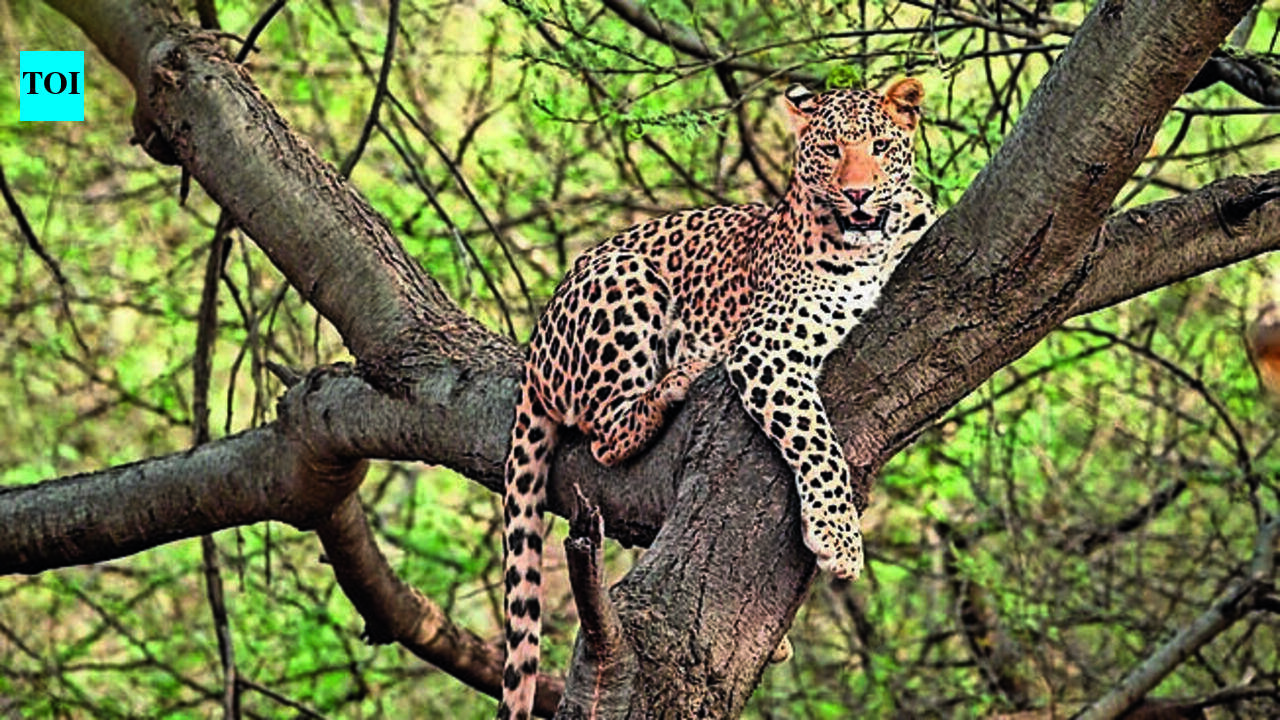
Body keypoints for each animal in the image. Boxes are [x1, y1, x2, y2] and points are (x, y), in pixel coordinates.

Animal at [498, 78, 936, 719]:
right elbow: (819, 443)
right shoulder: (765, 348)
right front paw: (838, 538)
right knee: (604, 432)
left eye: (880, 146)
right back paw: (682, 375)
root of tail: (534, 346)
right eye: (830, 149)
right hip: (628, 279)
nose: (858, 194)